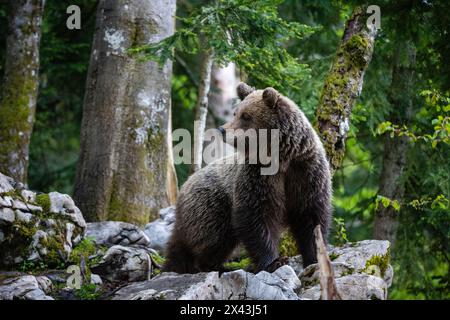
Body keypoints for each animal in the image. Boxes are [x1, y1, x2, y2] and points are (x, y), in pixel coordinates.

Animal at [163, 84, 332, 274]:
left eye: (246, 116)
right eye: (235, 113)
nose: (222, 130)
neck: (282, 158)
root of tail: (184, 187)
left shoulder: (306, 172)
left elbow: (311, 217)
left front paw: (315, 258)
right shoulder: (258, 176)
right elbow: (255, 216)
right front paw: (274, 261)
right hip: (211, 204)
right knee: (212, 237)